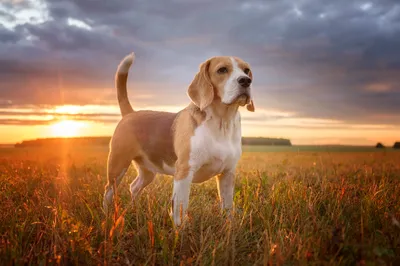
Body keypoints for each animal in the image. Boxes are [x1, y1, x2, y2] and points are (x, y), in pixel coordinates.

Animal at [103, 52, 253, 227]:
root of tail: (130, 113)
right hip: (117, 166)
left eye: (246, 70)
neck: (222, 122)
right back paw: (106, 216)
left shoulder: (227, 174)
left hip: (148, 172)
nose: (245, 80)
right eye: (222, 70)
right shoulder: (184, 172)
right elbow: (180, 208)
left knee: (134, 186)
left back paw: (135, 210)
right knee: (108, 191)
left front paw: (229, 228)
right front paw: (180, 232)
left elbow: (228, 207)